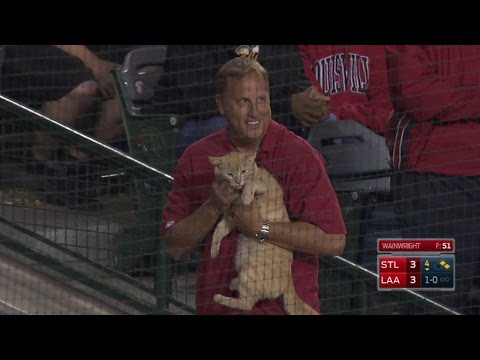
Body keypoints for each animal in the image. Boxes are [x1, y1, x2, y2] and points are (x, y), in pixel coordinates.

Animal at [207, 152, 316, 316]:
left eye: (243, 171)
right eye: (230, 174)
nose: (238, 181)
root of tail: (288, 279)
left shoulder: (262, 187)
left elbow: (251, 183)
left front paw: (246, 196)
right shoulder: (230, 218)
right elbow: (218, 232)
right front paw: (214, 252)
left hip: (250, 272)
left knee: (247, 304)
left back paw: (220, 297)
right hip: (241, 262)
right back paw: (233, 283)